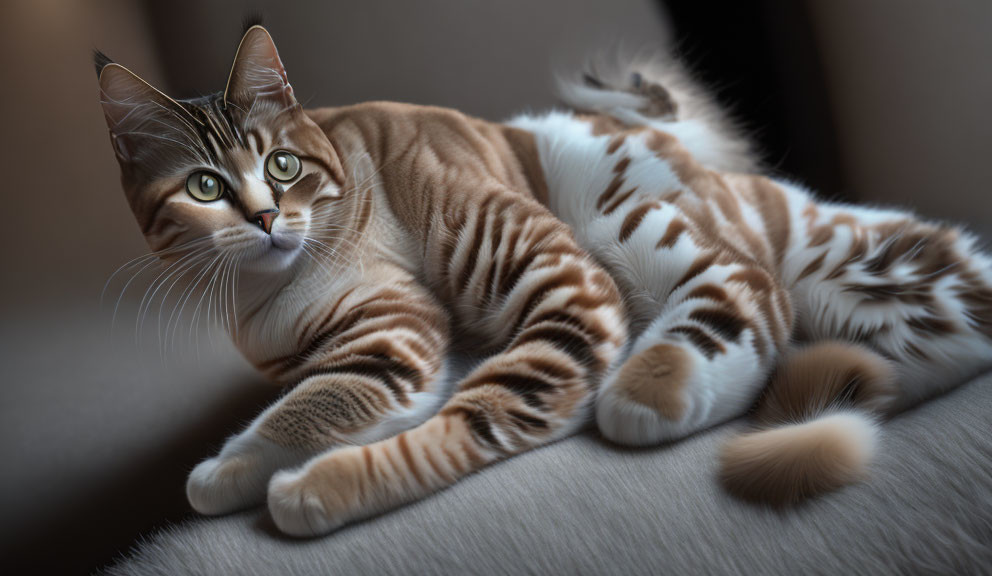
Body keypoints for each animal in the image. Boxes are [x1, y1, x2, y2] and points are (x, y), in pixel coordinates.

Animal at [97, 22, 992, 536]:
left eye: (281, 166)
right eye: (204, 187)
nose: (263, 218)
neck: (271, 288)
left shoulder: (529, 304)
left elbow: (439, 424)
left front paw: (313, 486)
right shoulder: (377, 349)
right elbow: (303, 409)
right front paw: (236, 466)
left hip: (624, 223)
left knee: (747, 286)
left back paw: (653, 389)